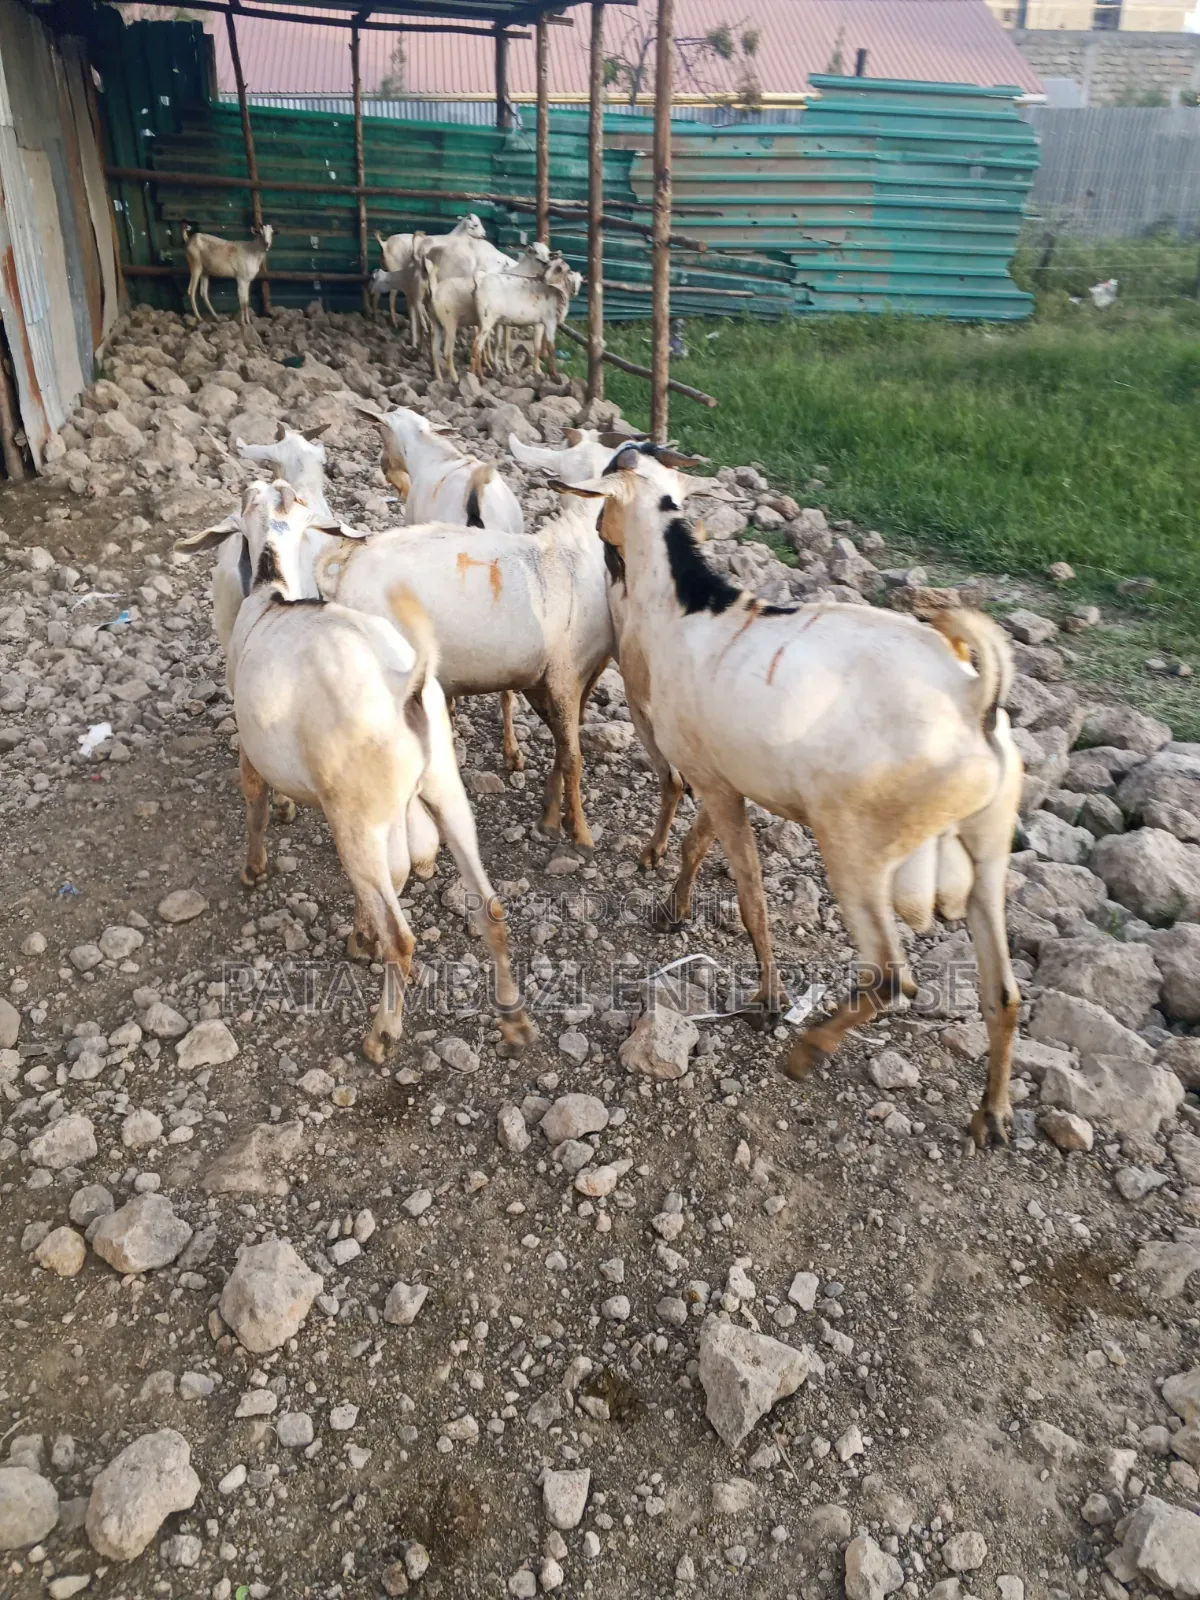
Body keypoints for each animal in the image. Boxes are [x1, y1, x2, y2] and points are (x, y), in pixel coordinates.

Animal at [178, 480, 531, 1062]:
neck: (272, 591)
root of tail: (404, 683)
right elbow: (395, 871)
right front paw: (359, 933)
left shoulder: (252, 743)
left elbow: (254, 801)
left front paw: (254, 869)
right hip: (441, 791)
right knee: (490, 910)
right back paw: (515, 1021)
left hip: (356, 816)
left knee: (403, 938)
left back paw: (381, 1033)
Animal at [575, 464, 1023, 1148]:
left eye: (602, 506)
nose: (606, 555)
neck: (687, 609)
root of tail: (973, 696)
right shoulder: (720, 777)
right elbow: (697, 843)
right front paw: (673, 910)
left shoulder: (715, 782)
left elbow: (752, 897)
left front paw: (767, 1002)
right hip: (988, 850)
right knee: (1003, 994)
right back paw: (992, 1113)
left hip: (855, 848)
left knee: (891, 975)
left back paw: (807, 1051)